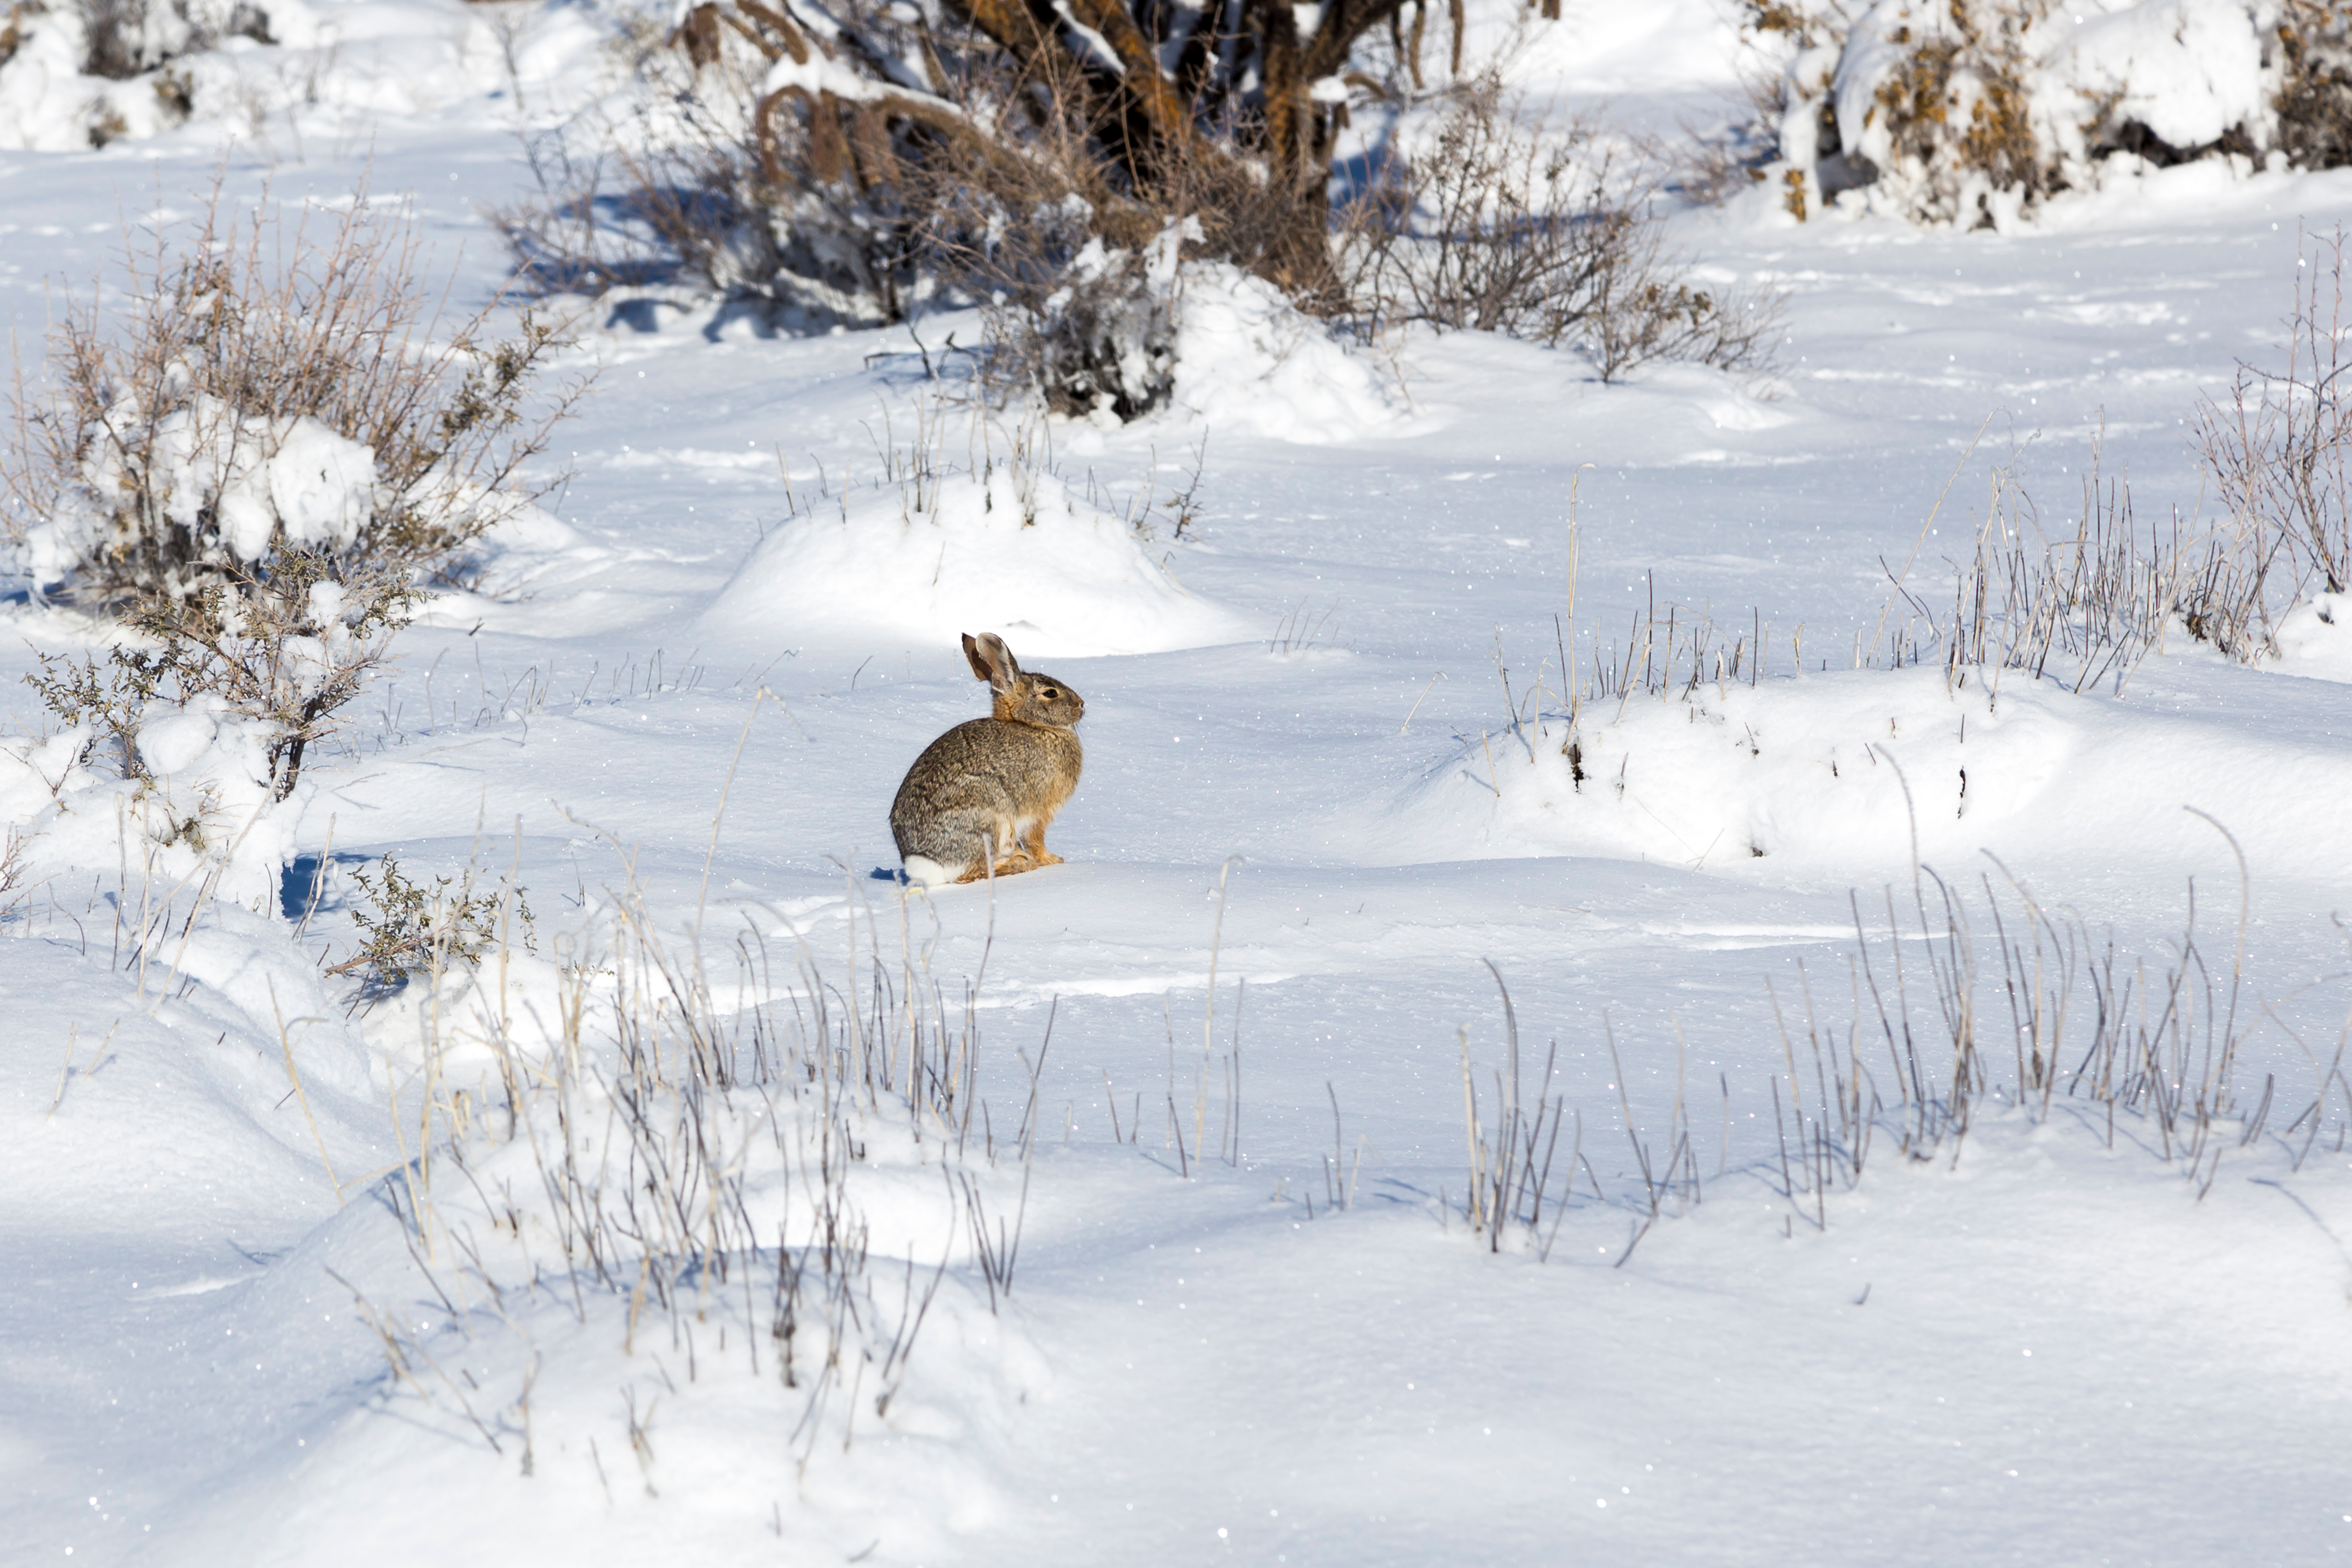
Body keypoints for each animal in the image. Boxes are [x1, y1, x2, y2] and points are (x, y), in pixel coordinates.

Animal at [891, 632, 1085, 887]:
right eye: (1051, 693)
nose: (1082, 705)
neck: (1032, 726)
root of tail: (926, 862)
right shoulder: (1039, 812)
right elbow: (1036, 840)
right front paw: (1052, 861)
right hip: (993, 816)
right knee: (971, 873)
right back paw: (1019, 863)